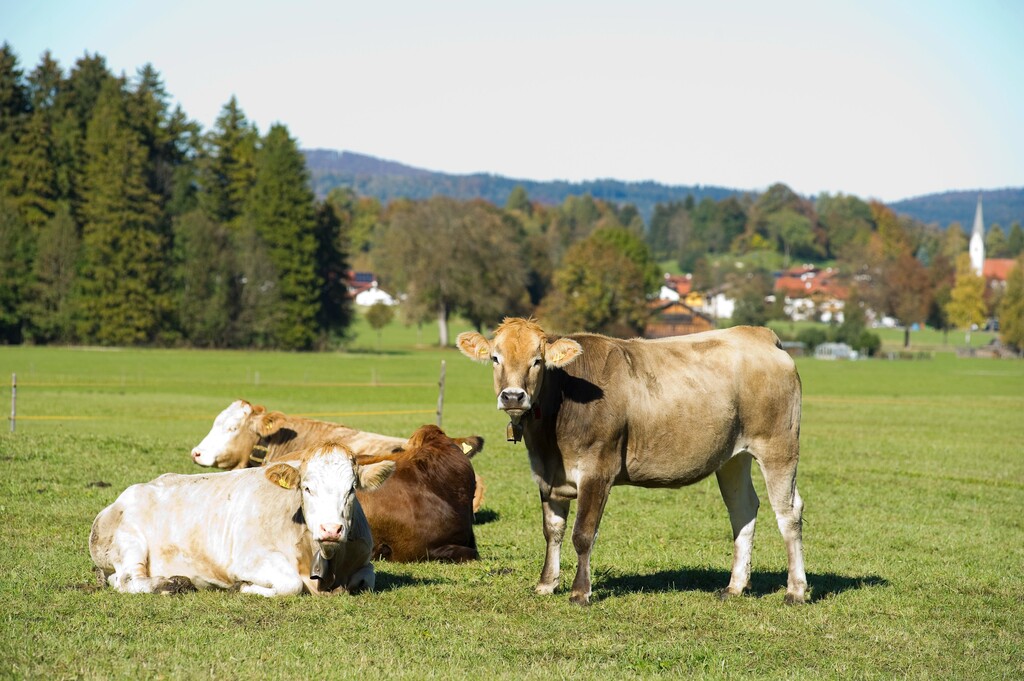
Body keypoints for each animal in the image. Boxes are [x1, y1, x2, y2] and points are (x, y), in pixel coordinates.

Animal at [90, 440, 393, 593]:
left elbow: (367, 579)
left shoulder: (363, 560)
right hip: (130, 543)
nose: (331, 529)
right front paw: (245, 587)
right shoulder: (249, 559)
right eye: (307, 488)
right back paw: (171, 583)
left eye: (351, 489)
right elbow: (291, 584)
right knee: (128, 581)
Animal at [458, 319, 806, 606]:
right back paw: (735, 586)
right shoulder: (547, 475)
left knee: (788, 512)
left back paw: (796, 590)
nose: (513, 396)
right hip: (733, 456)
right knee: (743, 509)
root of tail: (760, 335)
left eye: (537, 360)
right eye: (496, 358)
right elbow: (552, 531)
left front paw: (580, 592)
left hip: (779, 445)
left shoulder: (597, 470)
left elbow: (582, 534)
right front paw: (546, 584)